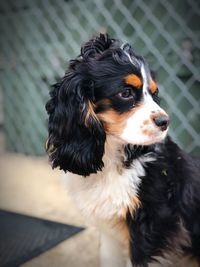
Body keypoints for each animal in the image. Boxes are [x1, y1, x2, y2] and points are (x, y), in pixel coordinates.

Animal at [45, 34, 200, 267]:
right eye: (126, 93)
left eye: (154, 93)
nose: (165, 121)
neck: (111, 154)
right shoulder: (112, 233)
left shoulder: (154, 225)